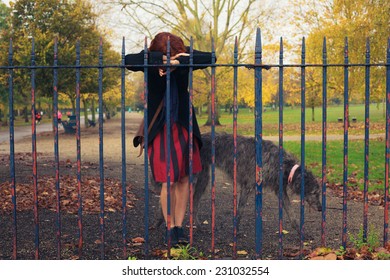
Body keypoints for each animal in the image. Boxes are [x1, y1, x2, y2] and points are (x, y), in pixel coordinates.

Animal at [154, 132, 322, 231]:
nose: (321, 209)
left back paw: (196, 224)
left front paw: (299, 230)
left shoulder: (278, 189)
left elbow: (290, 210)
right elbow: (240, 211)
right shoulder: (248, 185)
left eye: (319, 192)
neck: (283, 165)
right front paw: (236, 228)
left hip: (203, 178)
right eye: (315, 192)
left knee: (194, 201)